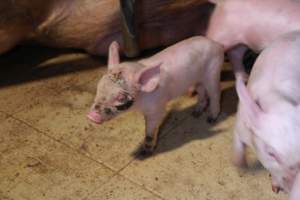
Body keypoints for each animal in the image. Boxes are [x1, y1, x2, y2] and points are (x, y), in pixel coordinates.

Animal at [86, 36, 223, 154]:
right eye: (99, 87)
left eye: (120, 98)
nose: (91, 116)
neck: (140, 103)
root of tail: (216, 44)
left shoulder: (157, 108)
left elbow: (151, 129)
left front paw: (145, 152)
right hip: (198, 79)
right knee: (202, 91)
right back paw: (195, 113)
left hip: (213, 72)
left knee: (215, 94)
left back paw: (210, 119)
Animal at [233, 31, 300, 198]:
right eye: (271, 153)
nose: (292, 188)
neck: (276, 100)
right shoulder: (241, 122)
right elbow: (237, 143)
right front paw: (241, 166)